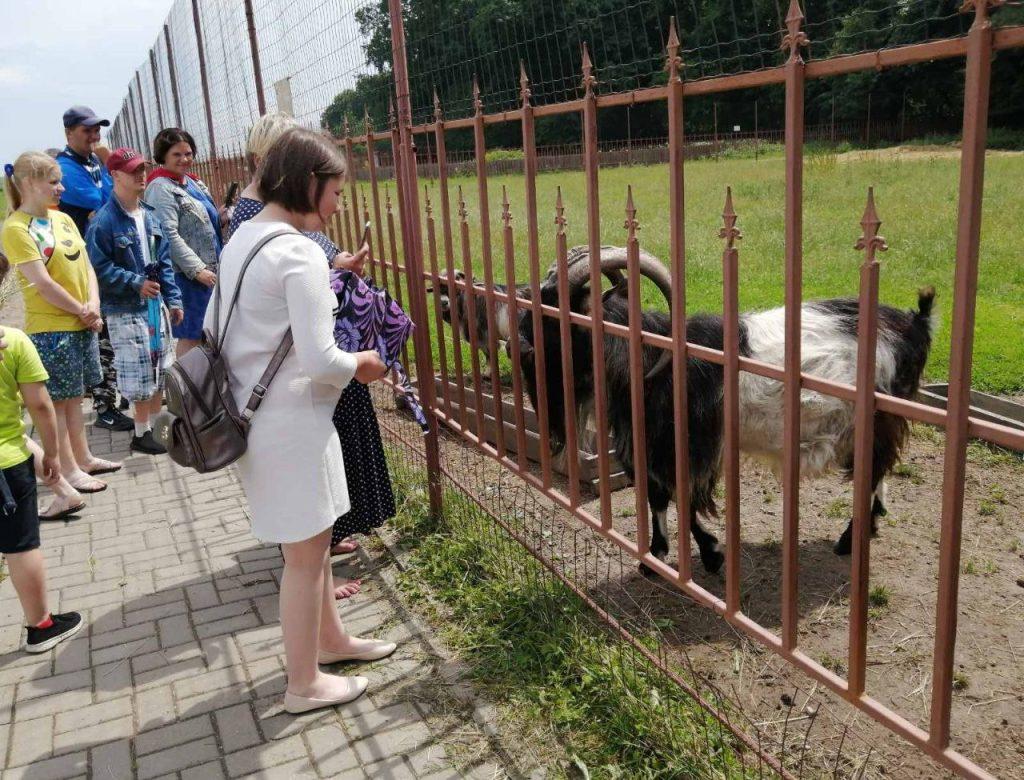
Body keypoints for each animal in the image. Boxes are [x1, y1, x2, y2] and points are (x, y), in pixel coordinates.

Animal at [516, 248, 937, 573]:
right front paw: (654, 557)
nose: (520, 346)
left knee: (875, 468)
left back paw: (849, 540)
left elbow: (682, 498)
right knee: (878, 470)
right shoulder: (653, 446)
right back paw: (874, 521)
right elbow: (657, 497)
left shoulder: (685, 446)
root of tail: (915, 323)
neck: (653, 358)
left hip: (879, 418)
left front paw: (711, 554)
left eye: (556, 317)